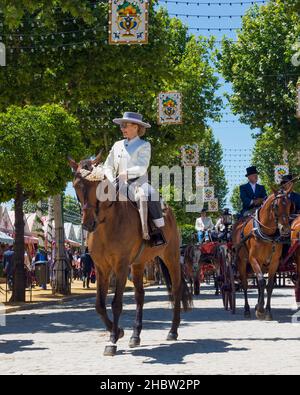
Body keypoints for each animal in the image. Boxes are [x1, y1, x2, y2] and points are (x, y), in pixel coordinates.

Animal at [68, 156, 192, 358]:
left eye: (100, 185)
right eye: (76, 185)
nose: (87, 223)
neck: (106, 224)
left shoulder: (121, 266)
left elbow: (116, 304)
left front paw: (112, 341)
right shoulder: (101, 268)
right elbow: (99, 305)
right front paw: (118, 332)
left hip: (171, 257)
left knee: (176, 290)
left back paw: (173, 331)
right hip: (138, 264)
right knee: (139, 295)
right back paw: (136, 335)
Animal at [232, 186, 292, 322]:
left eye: (290, 204)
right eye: (276, 206)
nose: (285, 229)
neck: (267, 233)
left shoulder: (274, 262)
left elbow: (268, 285)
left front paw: (267, 311)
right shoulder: (253, 259)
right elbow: (260, 281)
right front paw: (260, 310)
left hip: (264, 264)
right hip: (242, 262)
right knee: (245, 284)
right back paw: (247, 310)